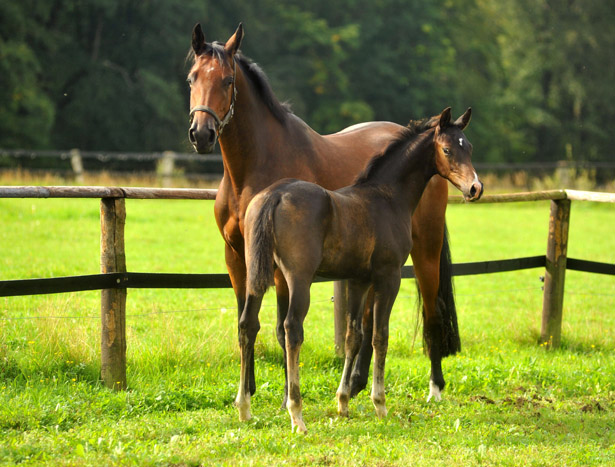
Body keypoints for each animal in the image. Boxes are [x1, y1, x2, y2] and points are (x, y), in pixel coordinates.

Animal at [189, 23, 466, 406]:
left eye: (228, 80)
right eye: (192, 78)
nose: (202, 134)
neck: (253, 166)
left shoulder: (282, 267)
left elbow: (281, 328)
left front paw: (287, 396)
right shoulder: (236, 255)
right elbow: (247, 319)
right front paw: (247, 390)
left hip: (425, 249)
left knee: (430, 311)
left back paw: (435, 386)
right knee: (368, 318)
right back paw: (357, 382)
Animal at [238, 108, 484, 434]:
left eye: (469, 148)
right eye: (446, 150)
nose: (475, 188)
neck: (388, 197)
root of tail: (274, 195)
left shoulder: (358, 280)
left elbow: (353, 336)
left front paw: (343, 401)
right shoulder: (388, 277)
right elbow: (380, 335)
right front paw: (379, 403)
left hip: (256, 276)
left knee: (247, 325)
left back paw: (244, 407)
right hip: (297, 279)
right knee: (292, 329)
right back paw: (296, 413)